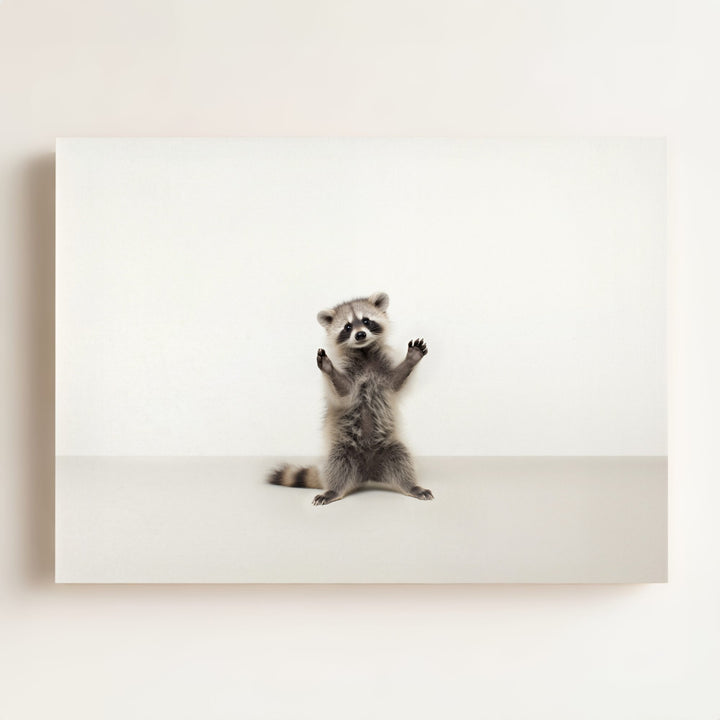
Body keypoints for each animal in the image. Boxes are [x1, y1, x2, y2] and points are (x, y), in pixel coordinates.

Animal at [268, 291, 433, 505]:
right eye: (347, 327)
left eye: (366, 321)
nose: (360, 334)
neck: (364, 352)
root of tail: (368, 474)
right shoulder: (348, 374)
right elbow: (343, 391)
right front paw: (329, 369)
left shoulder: (382, 370)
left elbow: (396, 382)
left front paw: (411, 360)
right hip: (342, 449)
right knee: (337, 465)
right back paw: (333, 490)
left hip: (390, 446)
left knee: (402, 459)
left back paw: (411, 486)